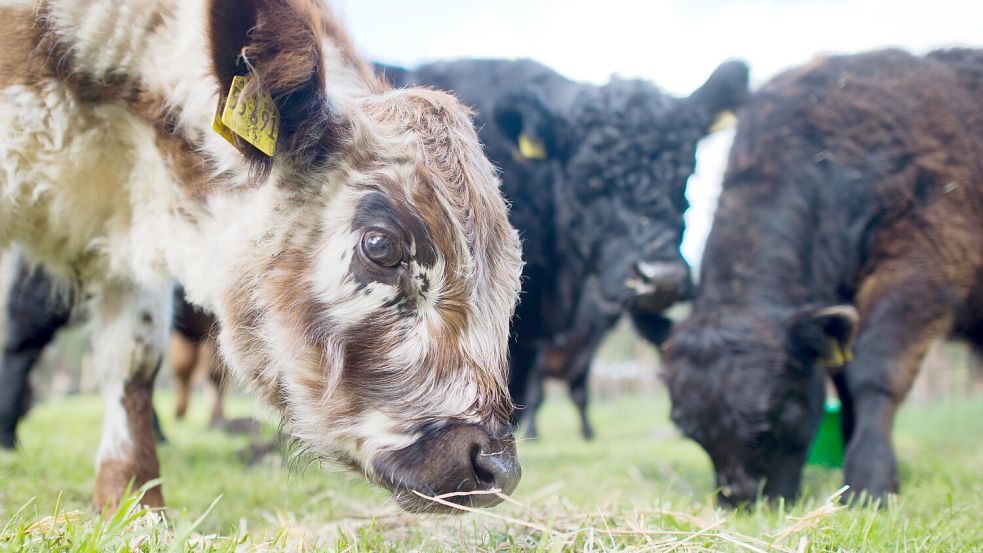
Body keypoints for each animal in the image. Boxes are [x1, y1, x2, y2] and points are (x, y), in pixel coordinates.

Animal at [652, 49, 983, 506]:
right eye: (693, 432)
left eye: (772, 417)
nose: (742, 500)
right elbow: (845, 387)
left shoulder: (924, 259)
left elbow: (874, 373)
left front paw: (870, 480)